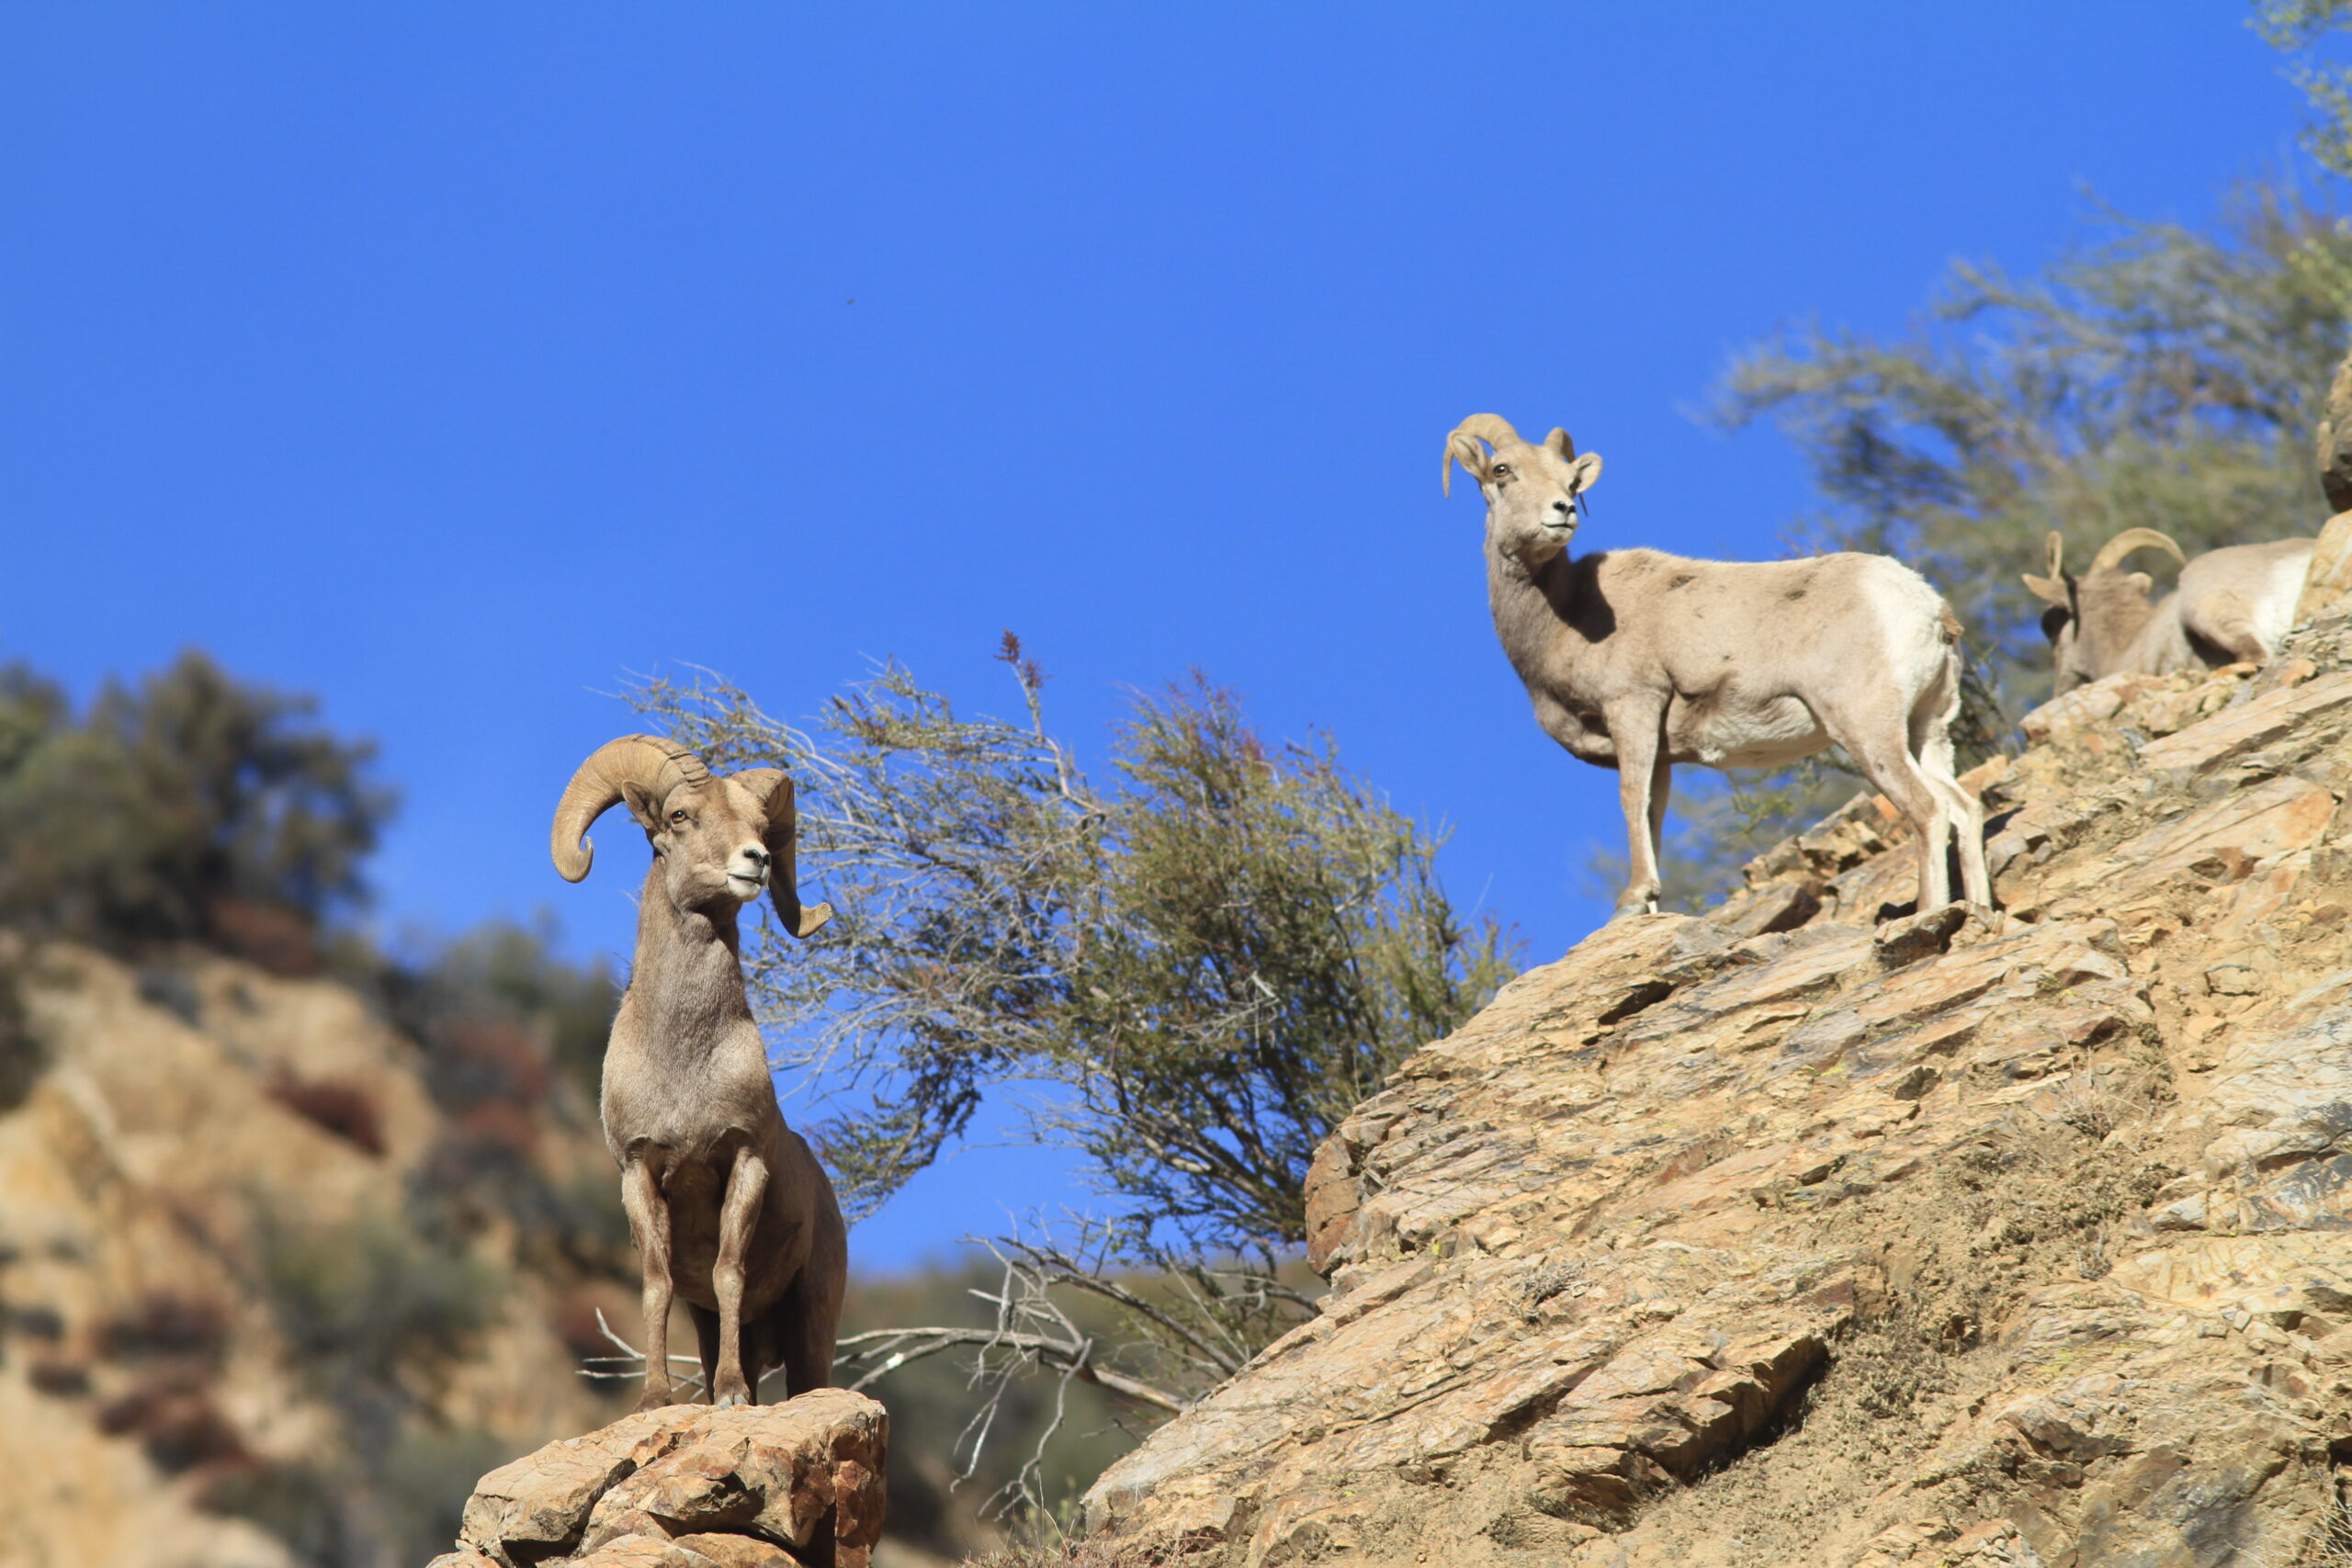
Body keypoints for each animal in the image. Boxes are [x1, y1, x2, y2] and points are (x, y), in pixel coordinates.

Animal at [551, 734, 845, 1409]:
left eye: (762, 825)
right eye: (681, 816)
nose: (755, 860)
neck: (684, 1065)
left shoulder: (744, 1160)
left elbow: (728, 1272)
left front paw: (733, 1395)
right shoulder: (639, 1172)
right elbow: (656, 1283)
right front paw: (656, 1398)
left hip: (811, 1329)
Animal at [1444, 413, 1990, 921]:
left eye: (1570, 480)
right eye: (1501, 470)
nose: (1561, 512)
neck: (1564, 618)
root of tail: (1927, 606)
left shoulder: (1633, 706)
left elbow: (1630, 798)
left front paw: (1632, 899)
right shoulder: (1662, 755)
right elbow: (1652, 811)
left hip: (1868, 731)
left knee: (1929, 810)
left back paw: (1928, 914)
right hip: (1928, 731)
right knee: (1964, 809)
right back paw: (1981, 912)